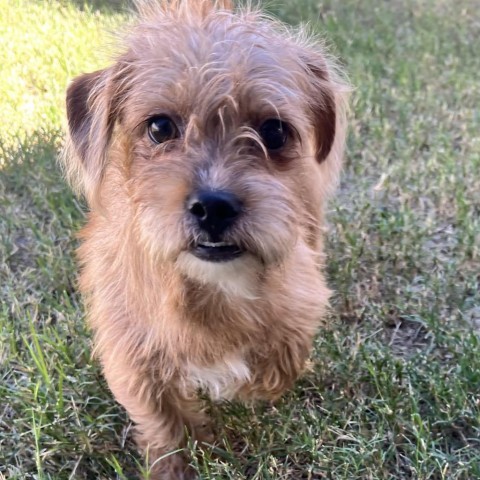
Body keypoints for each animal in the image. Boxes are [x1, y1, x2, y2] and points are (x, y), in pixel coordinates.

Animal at [62, 1, 348, 478]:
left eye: (274, 131)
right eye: (160, 127)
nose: (214, 207)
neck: (214, 287)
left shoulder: (301, 298)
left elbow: (280, 361)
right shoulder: (131, 353)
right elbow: (165, 421)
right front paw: (177, 465)